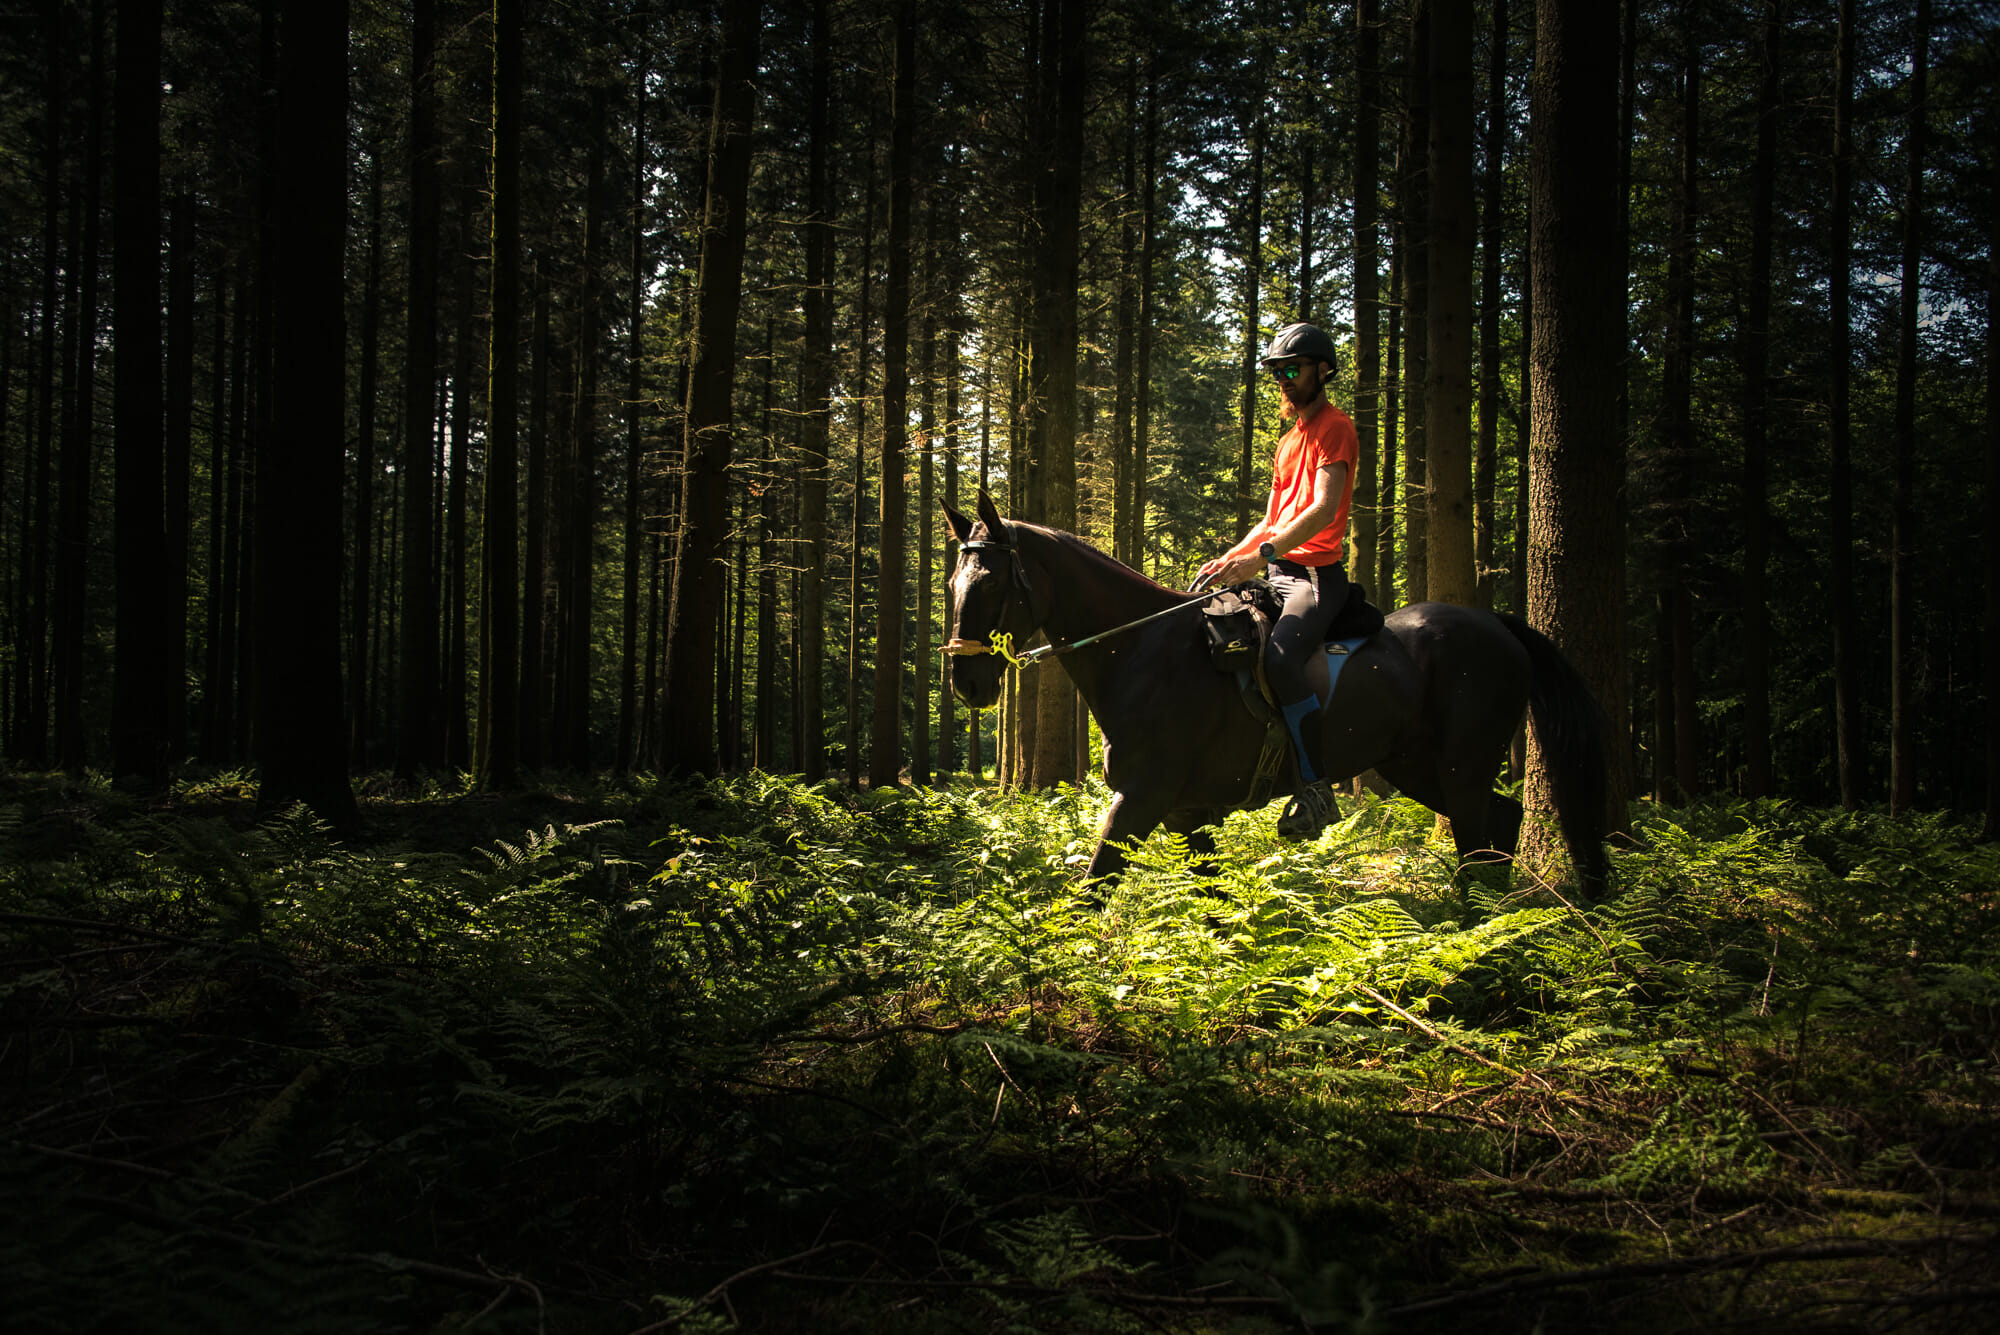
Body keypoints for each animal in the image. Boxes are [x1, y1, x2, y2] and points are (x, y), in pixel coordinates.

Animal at [936, 493, 1608, 895]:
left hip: (1460, 765)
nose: (967, 682)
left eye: (991, 584)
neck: (1143, 649)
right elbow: (1214, 902)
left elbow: (1094, 889)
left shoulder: (1142, 799)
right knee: (1503, 820)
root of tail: (1499, 626)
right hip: (1415, 767)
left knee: (1479, 840)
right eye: (951, 582)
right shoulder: (1185, 812)